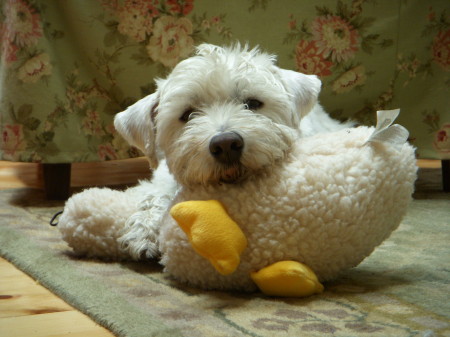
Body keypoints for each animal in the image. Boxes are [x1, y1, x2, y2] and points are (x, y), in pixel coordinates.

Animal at [58, 43, 352, 262]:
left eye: (253, 103)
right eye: (187, 115)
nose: (226, 145)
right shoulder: (166, 175)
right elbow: (155, 194)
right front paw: (143, 230)